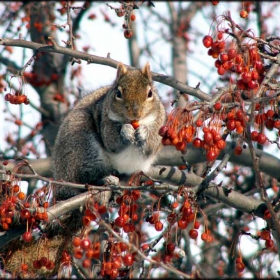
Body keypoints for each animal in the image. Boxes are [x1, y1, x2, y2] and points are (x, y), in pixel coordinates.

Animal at [52, 61, 165, 201]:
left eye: (150, 93)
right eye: (118, 93)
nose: (135, 113)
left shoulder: (159, 123)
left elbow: (151, 145)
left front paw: (144, 132)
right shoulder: (104, 121)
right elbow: (111, 141)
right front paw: (125, 132)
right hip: (82, 146)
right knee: (83, 179)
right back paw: (106, 179)